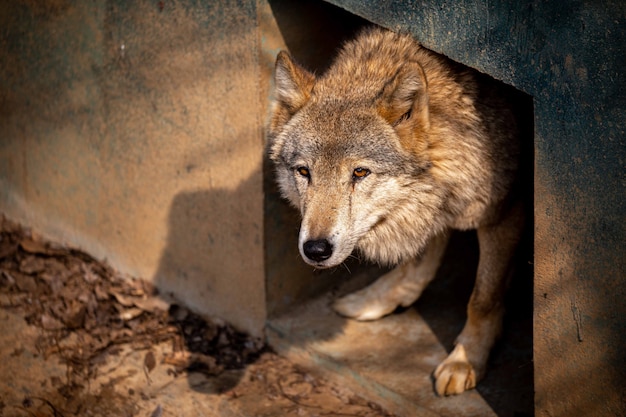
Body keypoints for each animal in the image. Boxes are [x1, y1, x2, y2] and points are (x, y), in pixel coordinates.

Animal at [266, 27, 524, 394]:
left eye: (360, 173)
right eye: (304, 172)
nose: (315, 250)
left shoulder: (504, 212)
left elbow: (482, 298)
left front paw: (466, 361)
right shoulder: (427, 210)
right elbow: (415, 262)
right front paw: (378, 300)